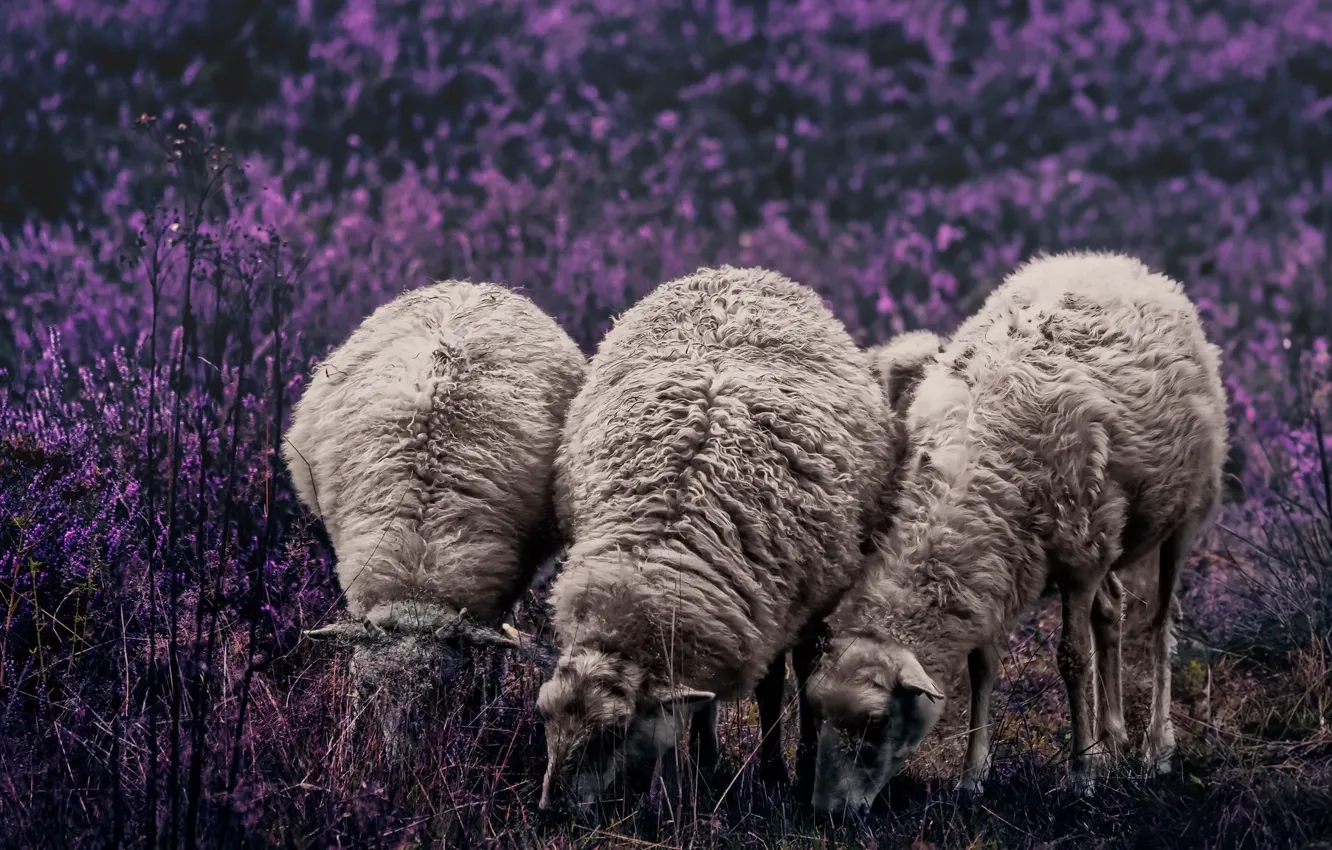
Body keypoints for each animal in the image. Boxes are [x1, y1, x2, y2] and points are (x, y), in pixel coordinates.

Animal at [534, 265, 897, 812]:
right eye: (544, 716)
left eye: (614, 734)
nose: (548, 812)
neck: (661, 547)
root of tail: (735, 271)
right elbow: (693, 707)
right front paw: (693, 771)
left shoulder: (804, 601)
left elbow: (791, 687)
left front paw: (790, 771)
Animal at [806, 251, 1229, 812]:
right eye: (816, 712)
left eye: (875, 723)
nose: (826, 812)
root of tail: (1117, 261)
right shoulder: (991, 565)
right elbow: (982, 666)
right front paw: (973, 777)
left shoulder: (1076, 560)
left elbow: (1073, 660)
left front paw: (1082, 774)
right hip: (1107, 534)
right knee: (1112, 611)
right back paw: (1113, 737)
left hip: (1184, 512)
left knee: (1162, 624)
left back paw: (1154, 750)